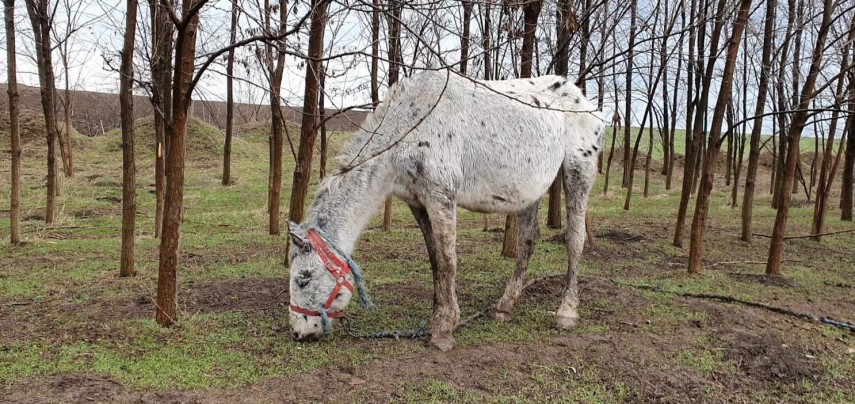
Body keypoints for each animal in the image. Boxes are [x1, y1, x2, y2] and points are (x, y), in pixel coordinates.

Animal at [286, 71, 600, 348]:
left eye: (304, 279)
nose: (299, 333)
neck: (409, 126)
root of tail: (583, 100)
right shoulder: (417, 202)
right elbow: (435, 260)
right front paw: (436, 318)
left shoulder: (441, 198)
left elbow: (448, 262)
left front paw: (445, 330)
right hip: (528, 191)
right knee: (527, 240)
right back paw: (505, 305)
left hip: (578, 172)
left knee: (574, 241)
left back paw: (566, 313)